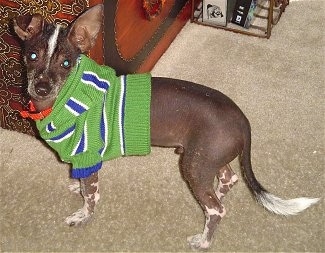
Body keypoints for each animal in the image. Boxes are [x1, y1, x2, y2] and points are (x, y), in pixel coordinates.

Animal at [13, 4, 318, 251]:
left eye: (66, 63)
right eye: (32, 56)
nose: (41, 87)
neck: (64, 97)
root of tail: (243, 120)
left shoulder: (88, 156)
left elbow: (91, 196)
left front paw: (82, 215)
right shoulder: (82, 159)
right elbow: (83, 183)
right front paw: (77, 186)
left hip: (195, 166)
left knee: (217, 210)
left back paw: (203, 240)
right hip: (207, 159)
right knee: (228, 180)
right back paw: (217, 196)